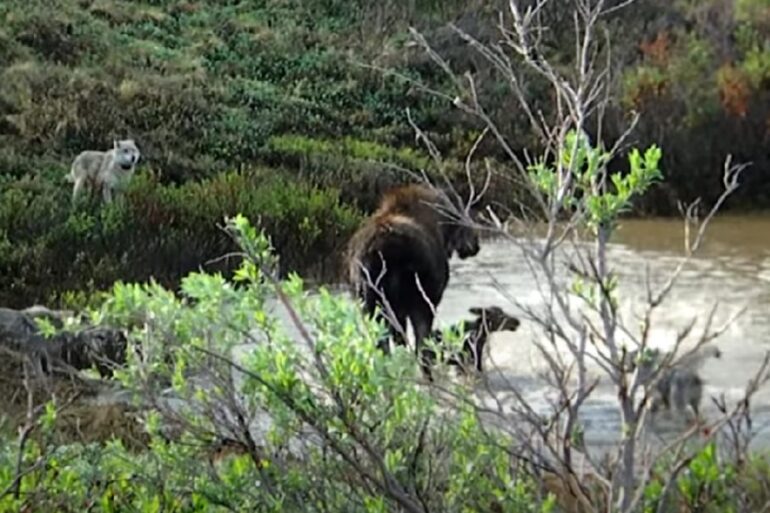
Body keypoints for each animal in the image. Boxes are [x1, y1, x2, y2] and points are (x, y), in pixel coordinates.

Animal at [346, 184, 481, 378]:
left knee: (383, 346)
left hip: (370, 305)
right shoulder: (427, 302)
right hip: (417, 301)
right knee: (420, 347)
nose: (476, 244)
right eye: (461, 211)